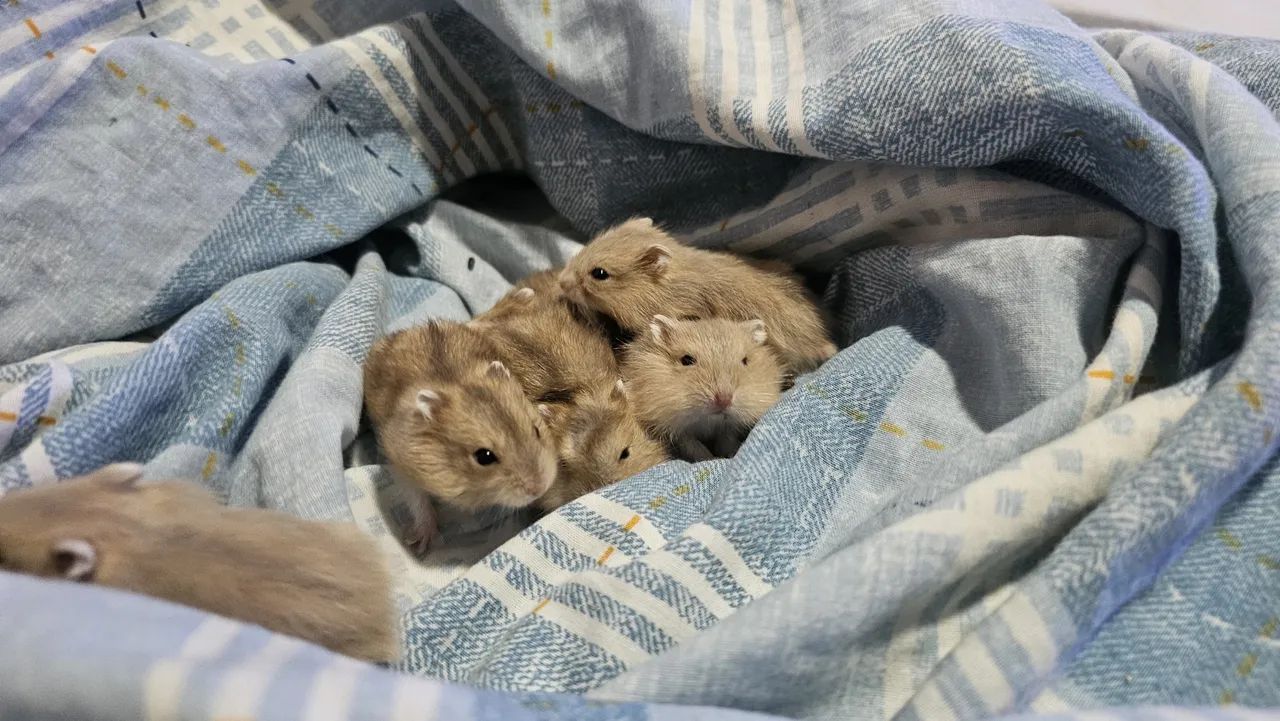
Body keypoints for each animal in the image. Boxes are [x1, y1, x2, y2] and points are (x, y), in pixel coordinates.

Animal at [363, 320, 558, 552]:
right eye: (484, 457)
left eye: (536, 430)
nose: (540, 488)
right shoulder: (400, 462)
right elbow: (416, 499)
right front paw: (420, 545)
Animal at [621, 315, 784, 460]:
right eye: (686, 360)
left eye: (745, 361)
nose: (724, 400)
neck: (708, 421)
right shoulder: (679, 432)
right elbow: (694, 447)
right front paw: (708, 458)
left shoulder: (727, 428)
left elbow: (726, 440)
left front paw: (730, 454)